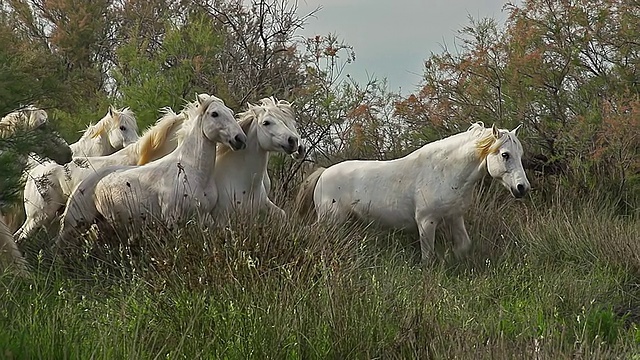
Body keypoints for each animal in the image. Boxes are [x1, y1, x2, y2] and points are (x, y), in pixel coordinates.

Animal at [54, 93, 248, 250]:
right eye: (214, 114)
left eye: (230, 112)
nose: (240, 139)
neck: (191, 171)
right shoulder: (173, 220)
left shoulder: (204, 217)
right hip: (74, 225)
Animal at [296, 123, 528, 262]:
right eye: (505, 155)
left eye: (520, 154)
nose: (522, 188)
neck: (444, 172)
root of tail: (324, 173)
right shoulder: (426, 222)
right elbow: (428, 257)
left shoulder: (455, 218)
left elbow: (464, 246)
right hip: (330, 221)